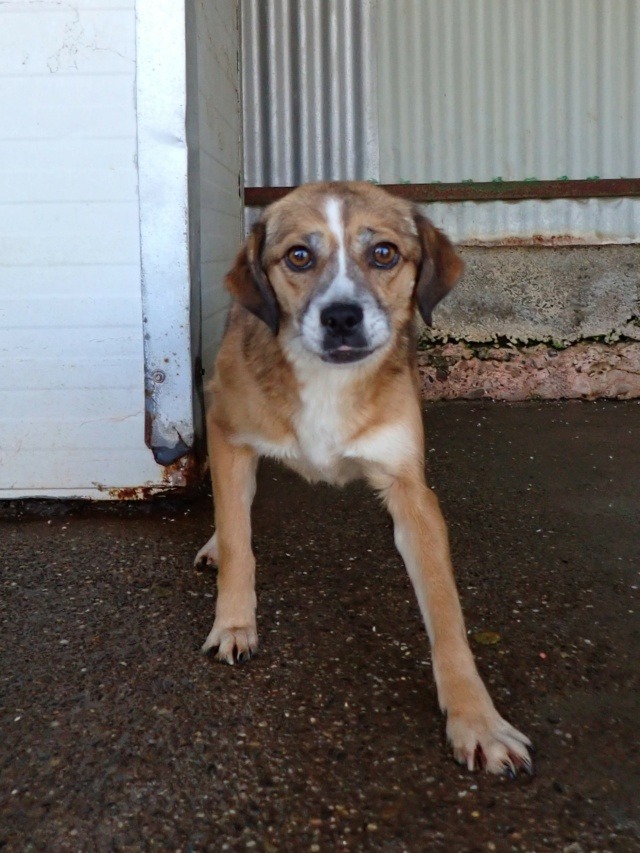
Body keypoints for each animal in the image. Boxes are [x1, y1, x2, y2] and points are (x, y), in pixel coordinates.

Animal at [195, 181, 532, 775]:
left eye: (384, 253)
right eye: (298, 256)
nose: (341, 318)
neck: (330, 380)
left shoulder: (413, 493)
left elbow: (447, 614)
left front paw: (477, 719)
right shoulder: (227, 432)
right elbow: (238, 538)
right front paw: (234, 622)